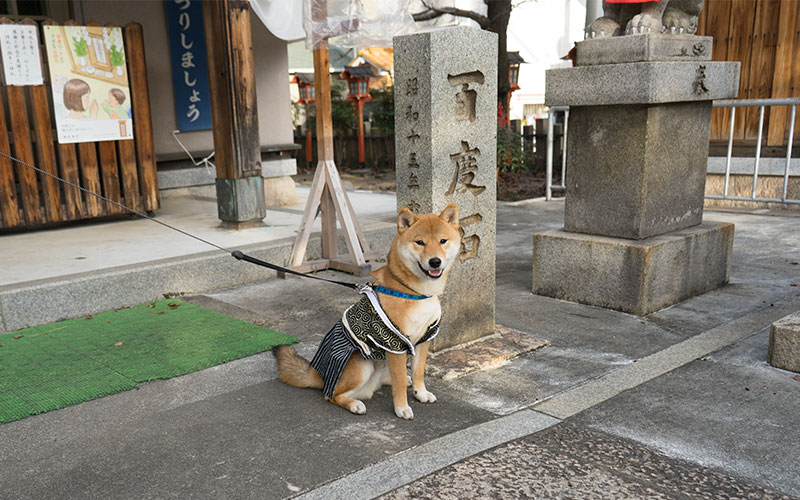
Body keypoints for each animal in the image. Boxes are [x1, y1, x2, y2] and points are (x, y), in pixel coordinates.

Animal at [276, 203, 462, 418]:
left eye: (442, 241)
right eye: (420, 242)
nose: (435, 261)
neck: (415, 291)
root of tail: (319, 375)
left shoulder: (425, 337)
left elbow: (418, 372)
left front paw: (420, 393)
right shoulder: (395, 343)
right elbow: (399, 382)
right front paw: (402, 408)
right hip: (361, 366)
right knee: (332, 395)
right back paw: (354, 404)